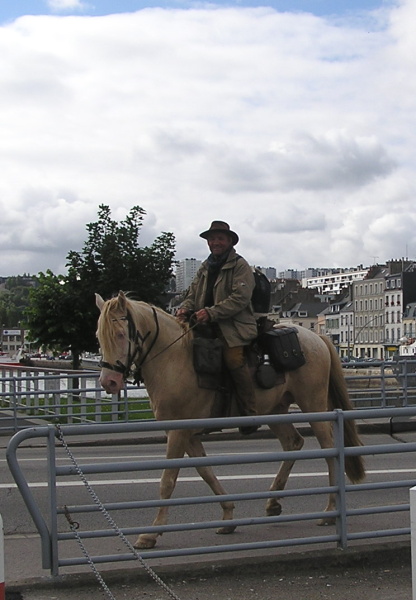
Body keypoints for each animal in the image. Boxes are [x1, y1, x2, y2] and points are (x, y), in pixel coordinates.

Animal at [96, 290, 364, 548]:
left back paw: (330, 510)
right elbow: (206, 472)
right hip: (275, 410)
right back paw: (273, 502)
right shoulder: (188, 436)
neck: (174, 360)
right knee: (293, 444)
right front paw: (228, 516)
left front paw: (151, 533)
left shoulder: (177, 434)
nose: (109, 382)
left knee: (329, 449)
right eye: (99, 337)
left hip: (313, 405)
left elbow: (168, 481)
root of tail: (317, 339)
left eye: (120, 334)